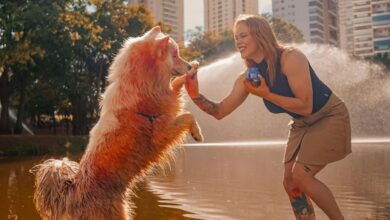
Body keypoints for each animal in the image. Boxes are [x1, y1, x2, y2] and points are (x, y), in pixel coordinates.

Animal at [29, 26, 204, 220]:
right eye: (175, 55)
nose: (189, 66)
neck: (141, 86)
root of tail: (74, 192)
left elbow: (176, 85)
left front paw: (191, 73)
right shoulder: (160, 133)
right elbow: (187, 115)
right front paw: (197, 133)